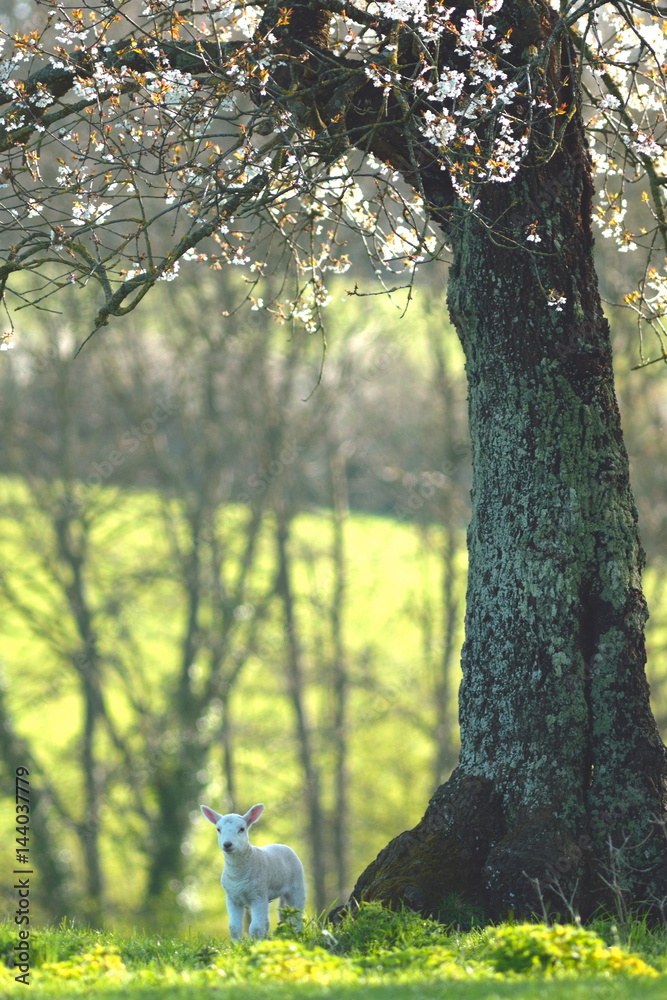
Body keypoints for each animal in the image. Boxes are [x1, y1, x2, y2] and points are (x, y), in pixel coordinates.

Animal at [200, 802, 306, 941]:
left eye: (242, 829)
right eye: (218, 829)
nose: (227, 844)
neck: (238, 874)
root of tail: (281, 844)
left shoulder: (258, 896)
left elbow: (255, 928)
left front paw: (255, 944)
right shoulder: (232, 898)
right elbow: (234, 928)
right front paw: (237, 945)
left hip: (297, 886)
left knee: (297, 916)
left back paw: (298, 935)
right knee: (266, 922)